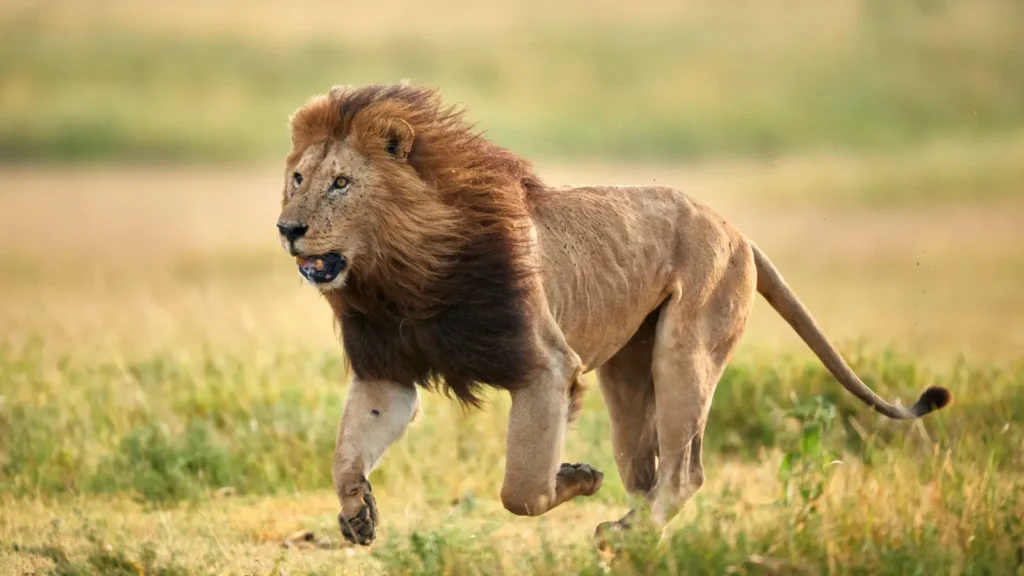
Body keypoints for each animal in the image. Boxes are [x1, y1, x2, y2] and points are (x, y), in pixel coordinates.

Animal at [275, 83, 952, 546]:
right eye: (299, 178)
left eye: (340, 184)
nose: (287, 229)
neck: (402, 280)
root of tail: (735, 229)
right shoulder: (386, 371)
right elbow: (346, 454)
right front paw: (357, 514)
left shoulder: (544, 367)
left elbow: (522, 490)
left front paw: (575, 477)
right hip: (627, 375)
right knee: (648, 471)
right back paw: (632, 532)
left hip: (685, 351)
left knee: (685, 473)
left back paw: (624, 537)